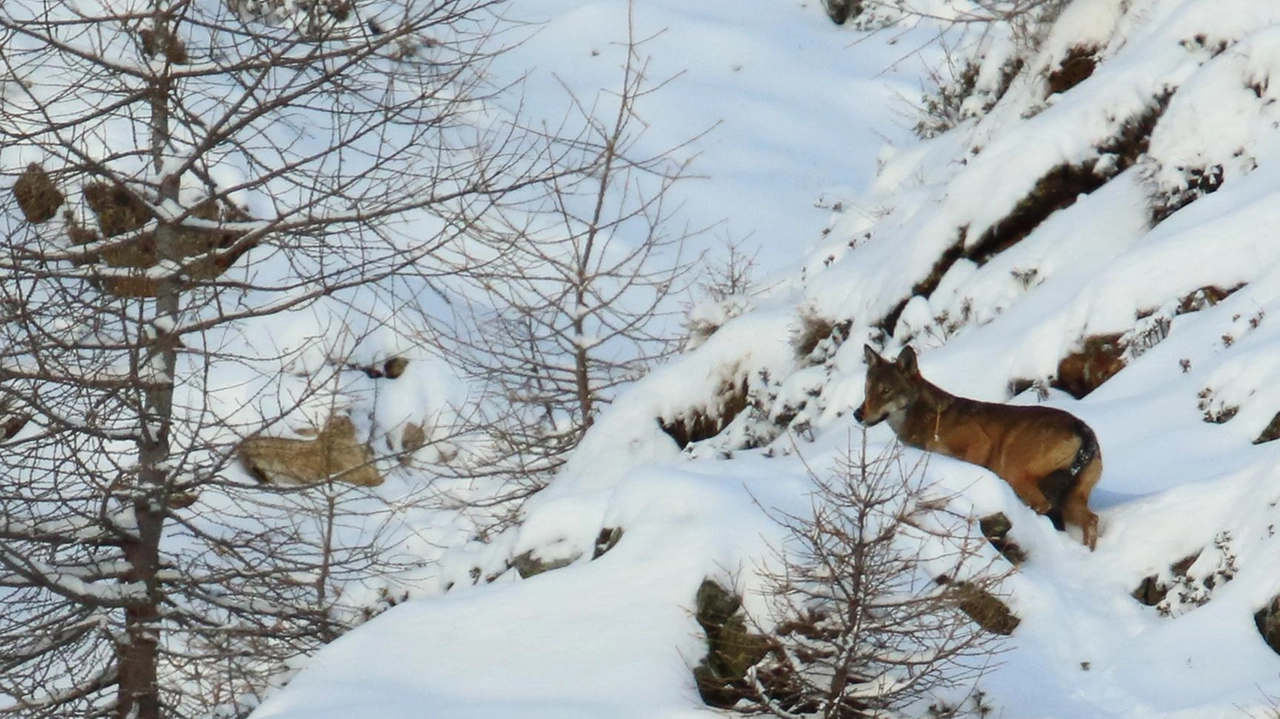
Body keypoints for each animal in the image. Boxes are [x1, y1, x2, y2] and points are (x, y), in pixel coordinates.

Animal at [849, 345, 1100, 545]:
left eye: (885, 391)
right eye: (867, 390)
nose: (857, 414)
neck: (930, 419)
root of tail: (1082, 428)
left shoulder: (979, 442)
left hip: (1016, 474)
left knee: (1045, 508)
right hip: (1071, 499)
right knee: (1091, 519)